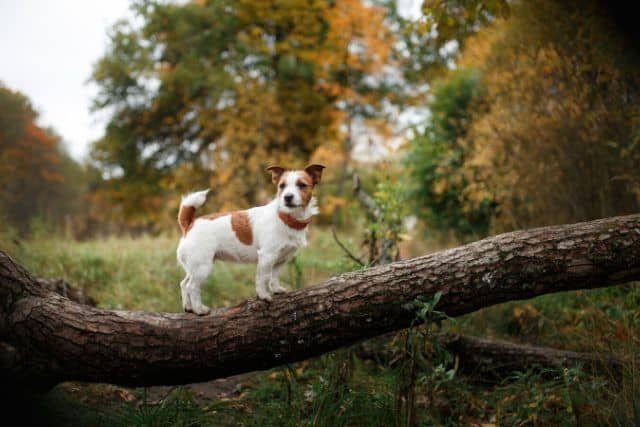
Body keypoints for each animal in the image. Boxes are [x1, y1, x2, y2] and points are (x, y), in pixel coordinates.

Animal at [175, 164, 324, 314]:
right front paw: (263, 295)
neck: (285, 217)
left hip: (194, 267)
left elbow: (274, 276)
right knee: (192, 286)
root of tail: (189, 224)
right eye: (282, 186)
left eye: (302, 185)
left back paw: (188, 307)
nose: (287, 197)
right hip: (202, 267)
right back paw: (199, 309)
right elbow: (263, 278)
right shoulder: (267, 256)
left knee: (183, 284)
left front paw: (276, 289)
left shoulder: (281, 259)